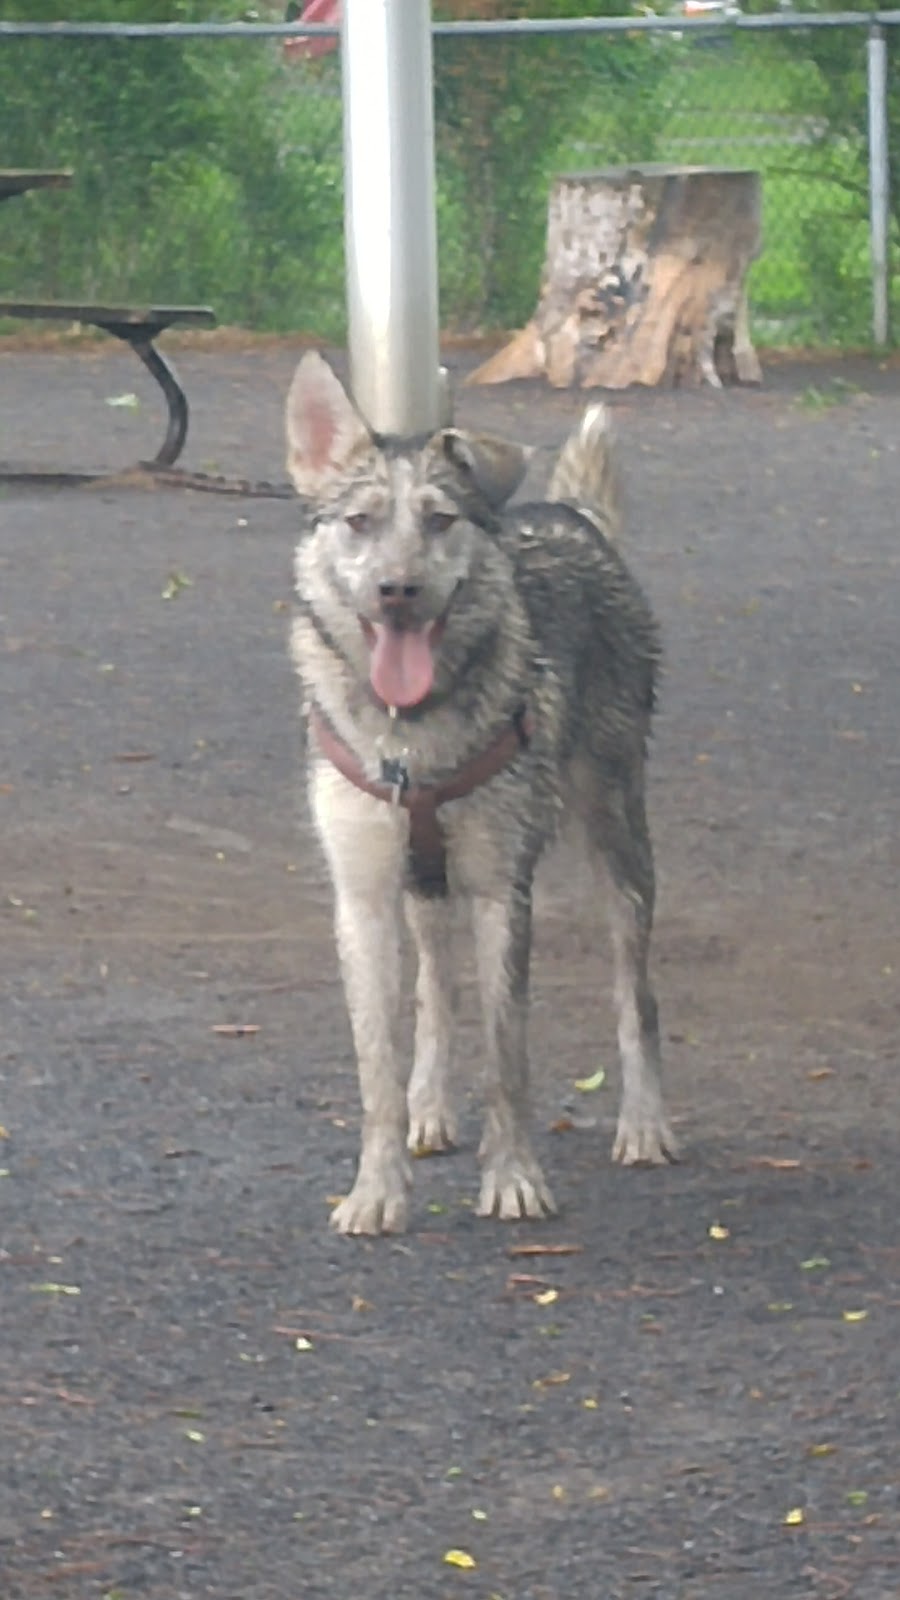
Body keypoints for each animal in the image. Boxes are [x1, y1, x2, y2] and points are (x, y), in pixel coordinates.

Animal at [283, 353, 669, 1235]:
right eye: (359, 522)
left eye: (438, 521)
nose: (396, 590)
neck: (408, 736)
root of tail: (571, 518)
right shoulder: (362, 898)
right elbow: (379, 1065)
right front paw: (376, 1190)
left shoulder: (502, 891)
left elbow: (508, 1053)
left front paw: (514, 1180)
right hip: (424, 887)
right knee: (436, 988)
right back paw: (430, 1107)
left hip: (619, 840)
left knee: (635, 996)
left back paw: (644, 1122)